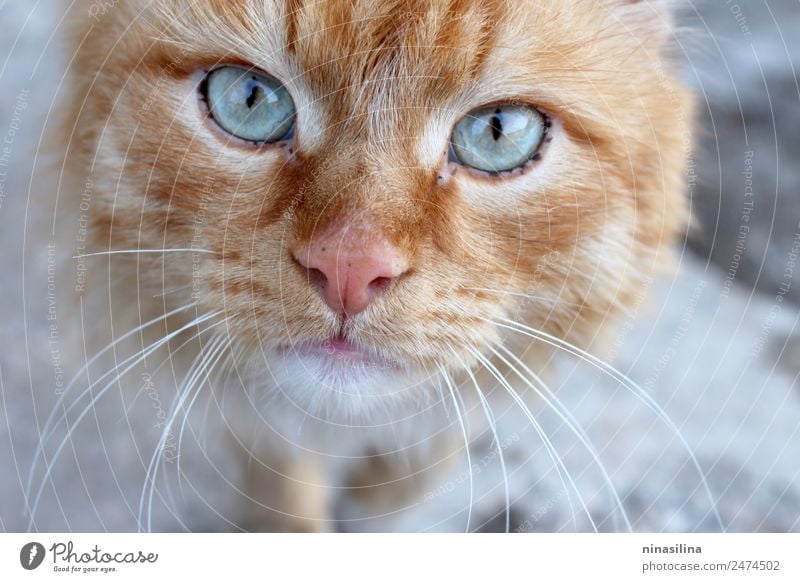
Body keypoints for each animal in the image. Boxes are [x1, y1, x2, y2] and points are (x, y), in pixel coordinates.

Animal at [31, 0, 692, 532]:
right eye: (248, 99)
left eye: (498, 133)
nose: (349, 268)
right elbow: (281, 482)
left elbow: (425, 454)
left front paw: (380, 501)